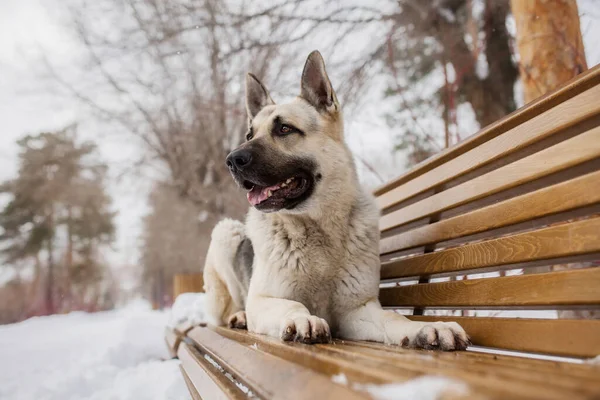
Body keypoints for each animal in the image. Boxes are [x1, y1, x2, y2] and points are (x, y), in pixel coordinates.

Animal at [204, 50, 472, 350]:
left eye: (284, 129)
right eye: (250, 135)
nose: (231, 160)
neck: (316, 229)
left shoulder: (356, 311)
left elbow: (394, 318)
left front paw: (427, 328)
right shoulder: (264, 301)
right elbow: (292, 306)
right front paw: (302, 319)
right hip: (226, 233)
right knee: (228, 308)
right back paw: (238, 317)